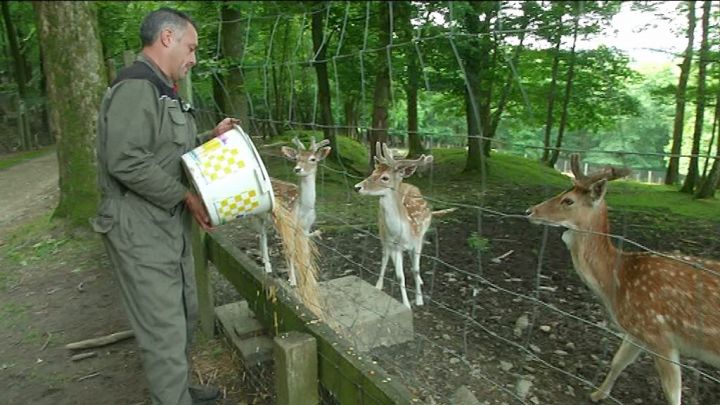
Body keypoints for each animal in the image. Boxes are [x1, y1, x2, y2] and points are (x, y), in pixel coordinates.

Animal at [255, 136, 330, 284]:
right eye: (296, 158)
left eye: (313, 159)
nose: (297, 169)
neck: (302, 209)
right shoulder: (289, 224)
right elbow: (291, 251)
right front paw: (293, 281)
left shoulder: (306, 227)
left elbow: (305, 251)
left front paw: (307, 278)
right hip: (258, 215)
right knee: (262, 235)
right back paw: (267, 266)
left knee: (262, 234)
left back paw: (264, 260)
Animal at [354, 144, 456, 308]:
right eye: (373, 172)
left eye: (385, 177)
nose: (357, 187)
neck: (405, 233)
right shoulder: (395, 246)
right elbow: (400, 276)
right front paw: (407, 305)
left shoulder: (418, 241)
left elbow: (415, 269)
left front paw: (419, 299)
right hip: (383, 234)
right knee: (384, 256)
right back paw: (379, 285)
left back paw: (420, 280)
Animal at [524, 152, 720, 404]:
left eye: (568, 200)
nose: (530, 211)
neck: (617, 283)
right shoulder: (637, 329)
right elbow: (618, 361)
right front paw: (597, 394)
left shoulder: (658, 333)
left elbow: (672, 392)